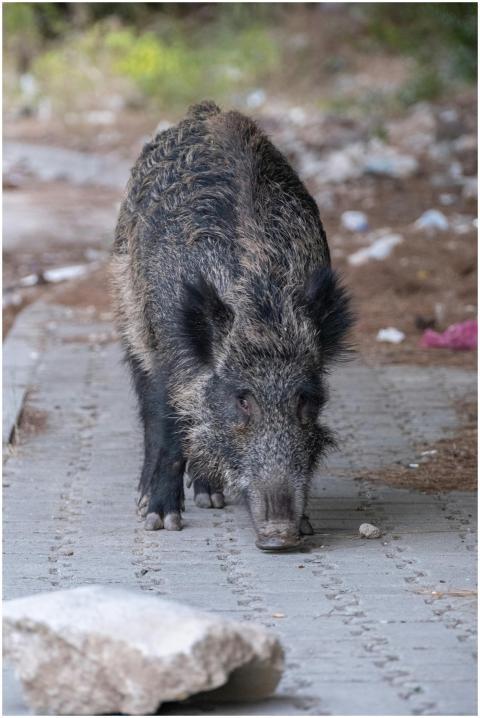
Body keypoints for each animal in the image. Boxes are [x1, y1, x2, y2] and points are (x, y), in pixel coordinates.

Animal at [110, 101, 353, 551]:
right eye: (243, 399)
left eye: (306, 399)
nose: (280, 534)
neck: (263, 309)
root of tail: (204, 110)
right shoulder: (168, 348)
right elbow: (169, 425)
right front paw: (161, 521)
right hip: (129, 313)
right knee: (152, 412)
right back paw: (148, 500)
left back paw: (210, 496)